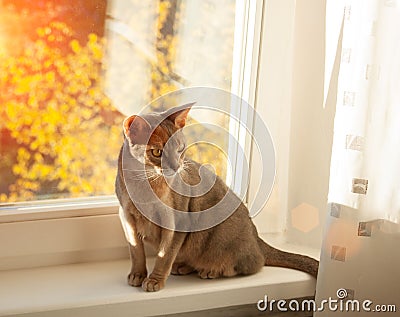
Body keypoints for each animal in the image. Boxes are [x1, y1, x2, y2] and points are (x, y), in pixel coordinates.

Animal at [115, 103, 318, 292]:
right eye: (157, 152)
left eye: (180, 149)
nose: (176, 167)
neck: (144, 187)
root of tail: (257, 238)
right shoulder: (126, 218)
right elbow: (136, 251)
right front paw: (137, 274)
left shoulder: (176, 223)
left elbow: (165, 255)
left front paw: (155, 281)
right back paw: (183, 266)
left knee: (251, 265)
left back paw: (210, 270)